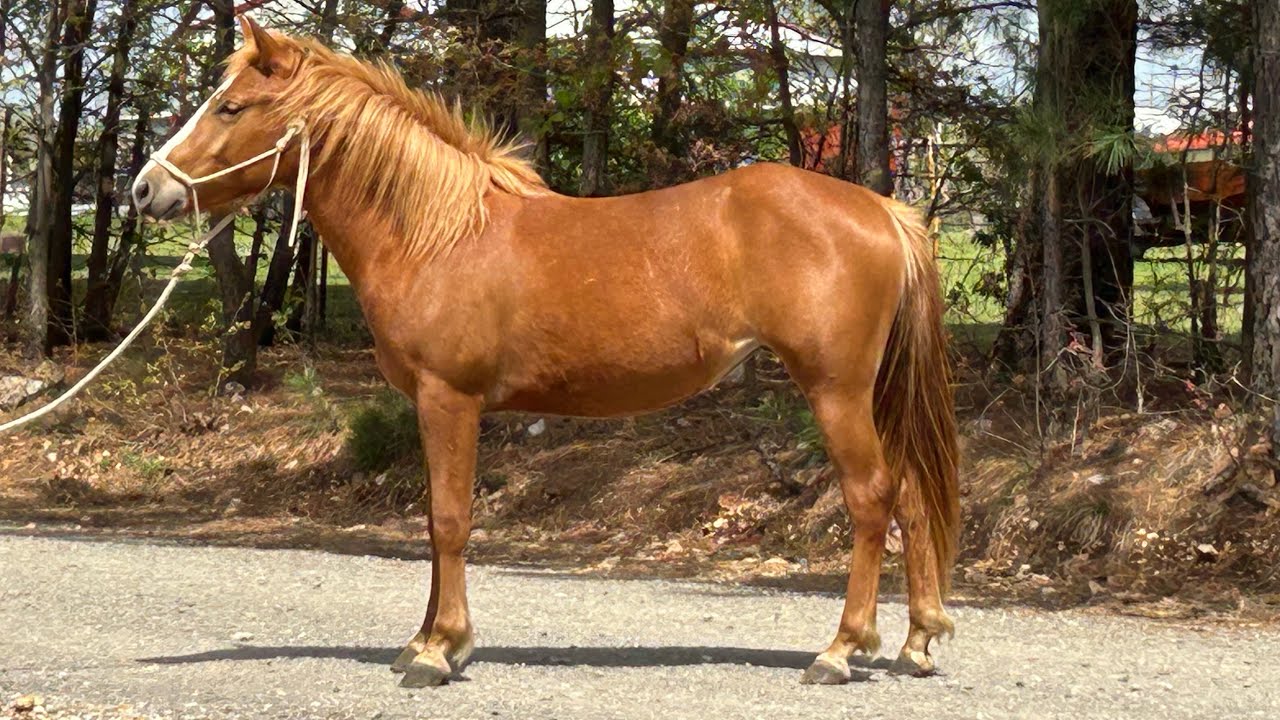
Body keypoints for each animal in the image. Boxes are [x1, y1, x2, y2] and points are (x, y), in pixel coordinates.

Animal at [131, 16, 960, 689]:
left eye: (230, 106)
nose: (143, 190)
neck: (437, 232)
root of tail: (881, 208)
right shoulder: (433, 405)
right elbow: (433, 519)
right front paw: (424, 641)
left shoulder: (450, 398)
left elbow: (450, 519)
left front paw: (440, 651)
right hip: (871, 392)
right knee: (913, 497)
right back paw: (917, 642)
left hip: (835, 389)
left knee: (871, 498)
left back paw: (842, 650)